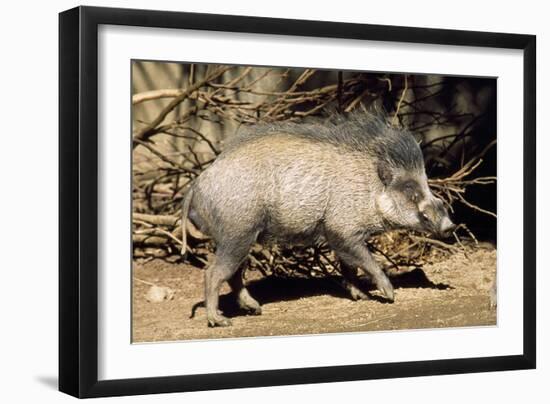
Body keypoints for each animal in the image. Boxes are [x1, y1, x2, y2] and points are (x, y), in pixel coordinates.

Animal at [181, 112, 458, 326]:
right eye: (411, 190)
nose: (450, 226)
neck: (370, 188)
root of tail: (197, 184)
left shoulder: (341, 235)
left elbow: (349, 266)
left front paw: (361, 296)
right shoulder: (341, 229)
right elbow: (365, 260)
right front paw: (389, 296)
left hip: (240, 237)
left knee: (233, 275)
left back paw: (255, 309)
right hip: (237, 233)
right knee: (213, 272)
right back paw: (220, 321)